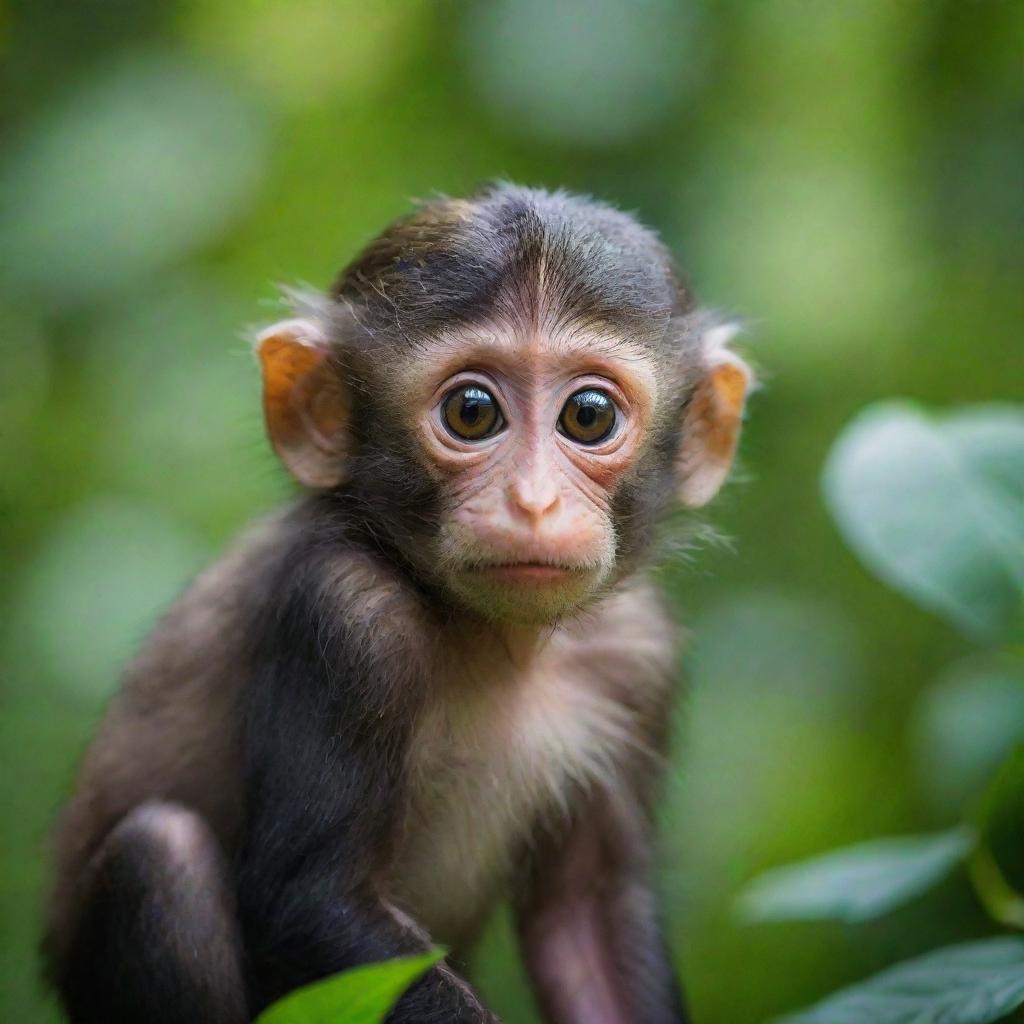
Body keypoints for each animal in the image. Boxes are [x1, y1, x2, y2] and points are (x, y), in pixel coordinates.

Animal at [46, 186, 753, 1024]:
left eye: (588, 416)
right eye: (473, 411)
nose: (534, 501)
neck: (499, 644)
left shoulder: (639, 652)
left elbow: (588, 915)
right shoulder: (348, 613)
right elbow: (313, 901)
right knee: (161, 856)